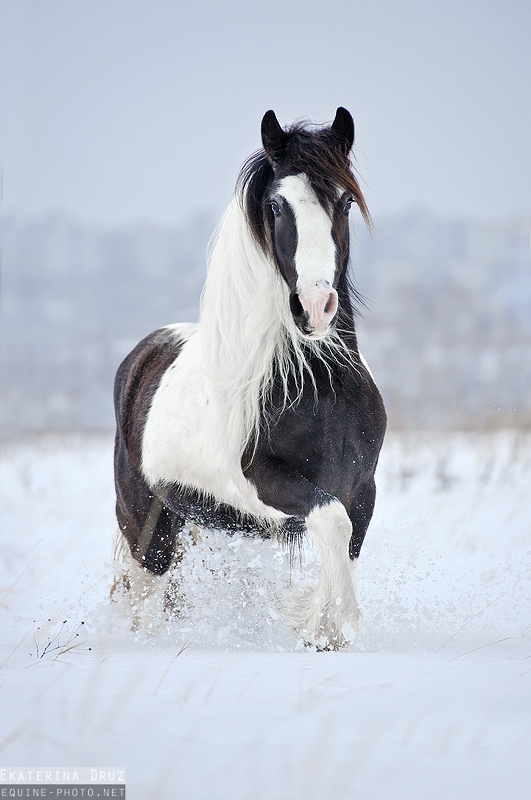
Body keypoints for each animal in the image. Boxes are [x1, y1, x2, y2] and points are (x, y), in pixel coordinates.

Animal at [113, 108, 386, 648]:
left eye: (344, 201)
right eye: (277, 206)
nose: (316, 308)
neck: (320, 389)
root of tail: (142, 356)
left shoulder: (362, 489)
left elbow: (343, 546)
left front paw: (327, 632)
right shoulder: (268, 483)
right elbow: (331, 524)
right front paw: (317, 618)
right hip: (148, 529)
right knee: (147, 603)